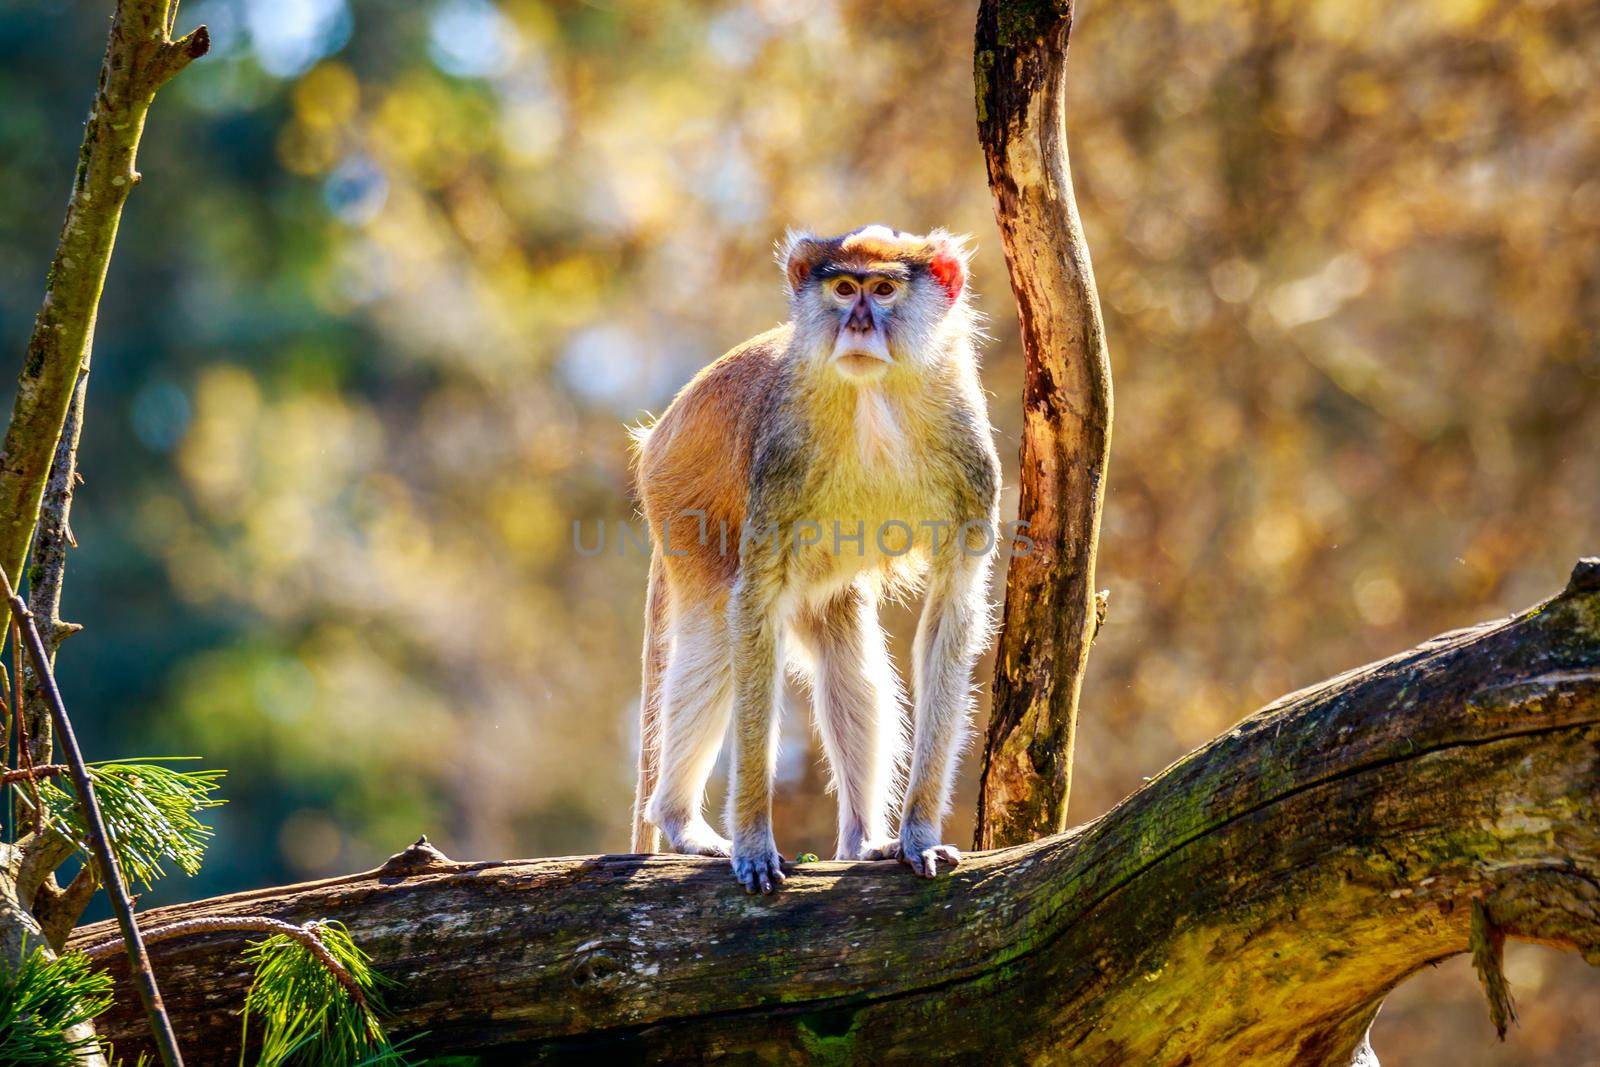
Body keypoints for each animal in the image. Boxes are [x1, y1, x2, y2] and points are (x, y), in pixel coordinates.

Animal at [630, 225, 992, 895]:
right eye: (843, 287)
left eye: (883, 290)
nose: (858, 324)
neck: (874, 395)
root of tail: (658, 436)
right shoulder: (779, 460)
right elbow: (752, 607)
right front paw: (754, 842)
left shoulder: (971, 462)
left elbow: (951, 610)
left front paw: (918, 836)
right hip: (681, 500)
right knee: (718, 632)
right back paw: (679, 823)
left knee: (844, 649)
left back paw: (861, 842)